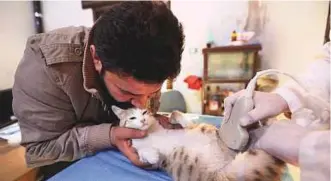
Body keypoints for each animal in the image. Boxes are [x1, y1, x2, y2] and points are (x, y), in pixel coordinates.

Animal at [111, 105, 286, 180]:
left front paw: (174, 117)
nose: (142, 120)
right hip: (248, 165)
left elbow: (179, 116)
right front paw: (152, 155)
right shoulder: (146, 154)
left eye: (145, 112)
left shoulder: (186, 126)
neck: (150, 132)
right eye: (132, 117)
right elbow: (145, 153)